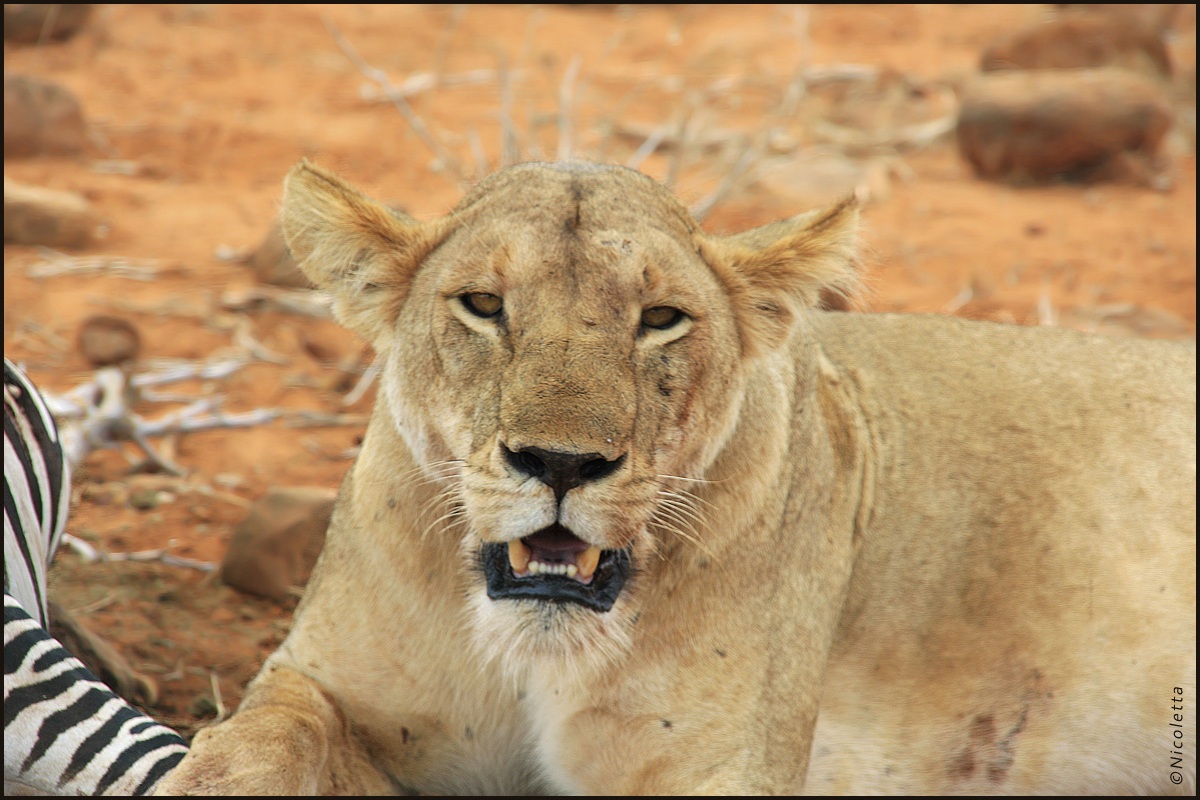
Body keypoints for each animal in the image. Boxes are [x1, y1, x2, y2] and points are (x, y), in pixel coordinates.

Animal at [156, 160, 1196, 795]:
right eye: (483, 304)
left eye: (661, 318)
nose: (561, 462)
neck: (533, 654)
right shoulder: (319, 681)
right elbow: (252, 743)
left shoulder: (722, 767)